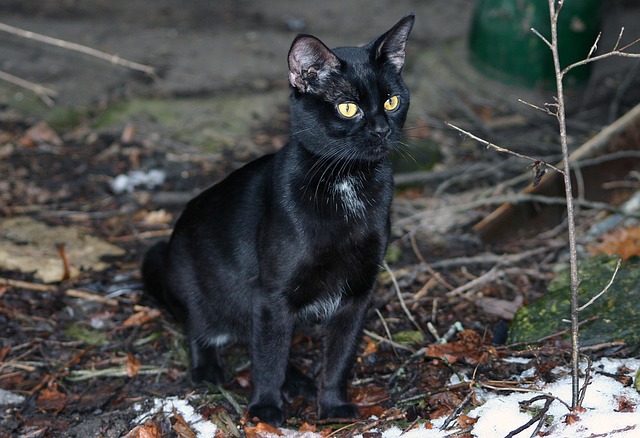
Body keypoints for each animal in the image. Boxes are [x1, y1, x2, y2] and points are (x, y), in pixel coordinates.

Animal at [142, 14, 416, 428]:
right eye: (347, 108)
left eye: (392, 101)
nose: (383, 129)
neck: (346, 181)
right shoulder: (272, 295)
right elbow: (269, 357)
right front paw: (266, 409)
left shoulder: (358, 292)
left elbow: (340, 357)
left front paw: (333, 406)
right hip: (197, 288)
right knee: (200, 329)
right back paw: (209, 369)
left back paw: (299, 381)